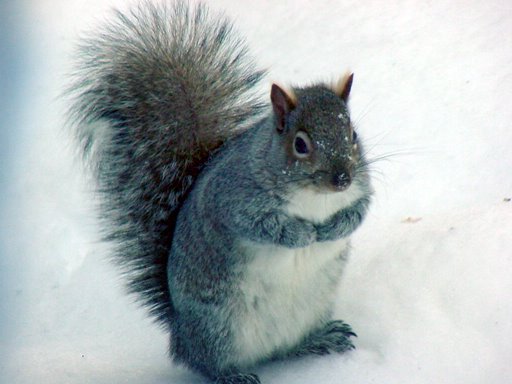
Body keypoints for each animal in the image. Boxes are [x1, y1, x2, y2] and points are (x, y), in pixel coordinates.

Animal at [69, 1, 372, 382]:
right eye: (300, 144)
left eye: (352, 135)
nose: (341, 179)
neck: (316, 199)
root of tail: (180, 331)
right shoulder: (232, 198)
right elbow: (260, 225)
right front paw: (302, 234)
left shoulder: (362, 186)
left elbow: (360, 210)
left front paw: (334, 228)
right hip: (218, 326)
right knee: (204, 362)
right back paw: (231, 374)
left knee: (287, 347)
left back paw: (319, 339)